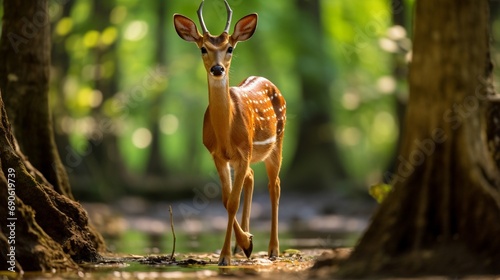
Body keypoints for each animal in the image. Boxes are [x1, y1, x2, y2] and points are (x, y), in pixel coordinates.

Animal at [174, 0, 288, 266]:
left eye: (230, 48)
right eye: (203, 48)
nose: (217, 69)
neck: (225, 134)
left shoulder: (244, 151)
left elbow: (233, 202)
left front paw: (226, 256)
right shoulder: (217, 154)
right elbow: (226, 201)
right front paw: (244, 243)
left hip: (277, 142)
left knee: (275, 186)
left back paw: (273, 249)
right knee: (252, 177)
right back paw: (243, 244)